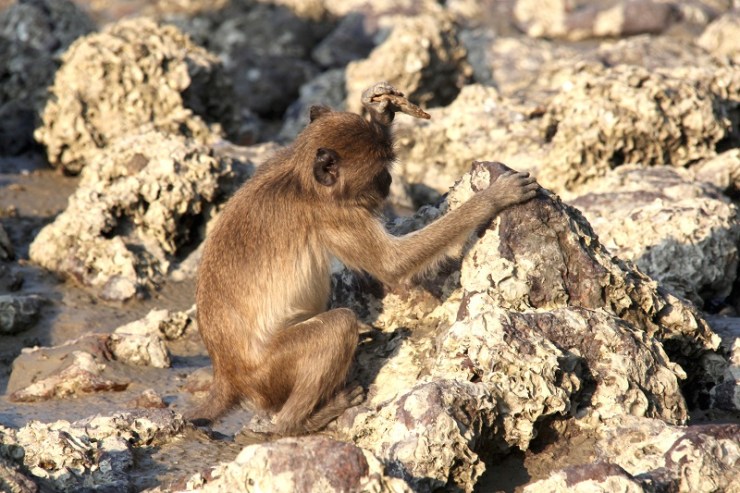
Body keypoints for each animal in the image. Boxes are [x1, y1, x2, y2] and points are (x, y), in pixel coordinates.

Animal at [188, 81, 539, 434]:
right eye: (379, 172)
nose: (389, 182)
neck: (300, 178)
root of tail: (228, 375)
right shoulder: (338, 215)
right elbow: (391, 264)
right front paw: (492, 198)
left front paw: (379, 110)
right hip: (270, 372)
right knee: (338, 327)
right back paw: (299, 422)